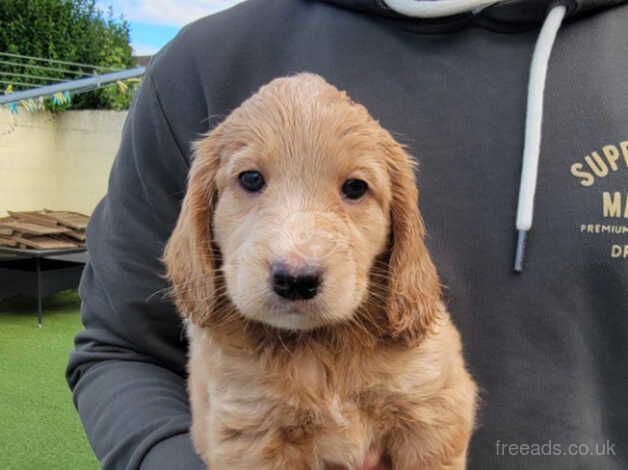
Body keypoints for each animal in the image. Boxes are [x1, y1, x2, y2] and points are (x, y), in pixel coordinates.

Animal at [164, 73, 478, 470]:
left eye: (355, 187)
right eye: (250, 179)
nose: (296, 280)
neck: (320, 347)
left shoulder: (434, 409)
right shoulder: (249, 435)